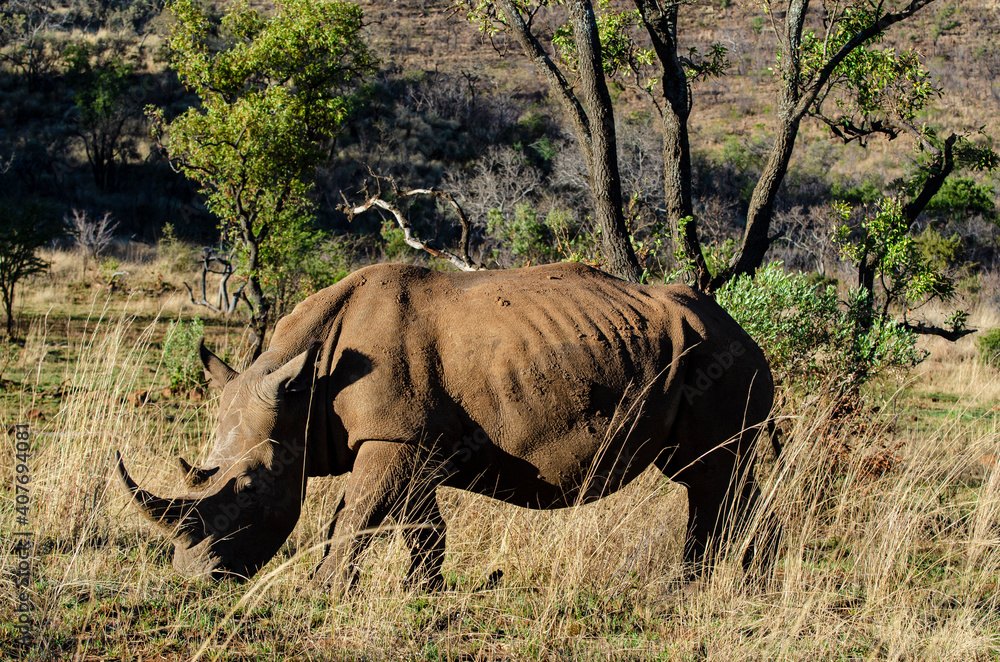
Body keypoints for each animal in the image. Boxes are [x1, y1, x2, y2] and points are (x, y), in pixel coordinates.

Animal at [117, 261, 774, 587]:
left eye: (250, 488)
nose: (197, 580)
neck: (308, 377)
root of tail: (746, 331)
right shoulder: (415, 441)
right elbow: (419, 522)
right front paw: (424, 590)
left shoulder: (393, 435)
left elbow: (354, 514)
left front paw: (322, 589)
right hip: (695, 351)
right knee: (708, 479)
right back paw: (728, 582)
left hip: (720, 358)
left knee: (711, 476)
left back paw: (698, 587)